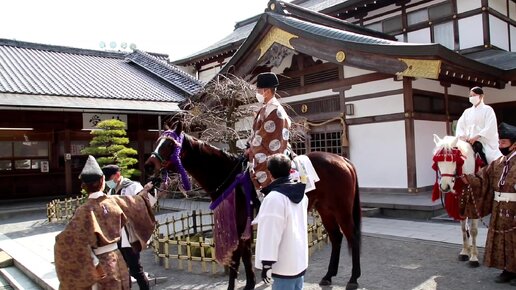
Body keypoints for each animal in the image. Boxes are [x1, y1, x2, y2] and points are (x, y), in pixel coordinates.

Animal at [143, 123, 362, 288]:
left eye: (169, 144)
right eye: (157, 141)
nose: (149, 165)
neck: (228, 176)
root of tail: (343, 159)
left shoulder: (239, 223)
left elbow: (238, 257)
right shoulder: (241, 224)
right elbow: (244, 255)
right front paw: (248, 282)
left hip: (341, 209)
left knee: (351, 237)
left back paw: (353, 278)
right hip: (326, 209)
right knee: (336, 238)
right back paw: (328, 276)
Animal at [432, 134, 480, 268]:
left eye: (453, 160)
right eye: (438, 162)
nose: (444, 186)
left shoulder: (476, 204)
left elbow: (473, 231)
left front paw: (474, 257)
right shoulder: (460, 203)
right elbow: (463, 229)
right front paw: (465, 251)